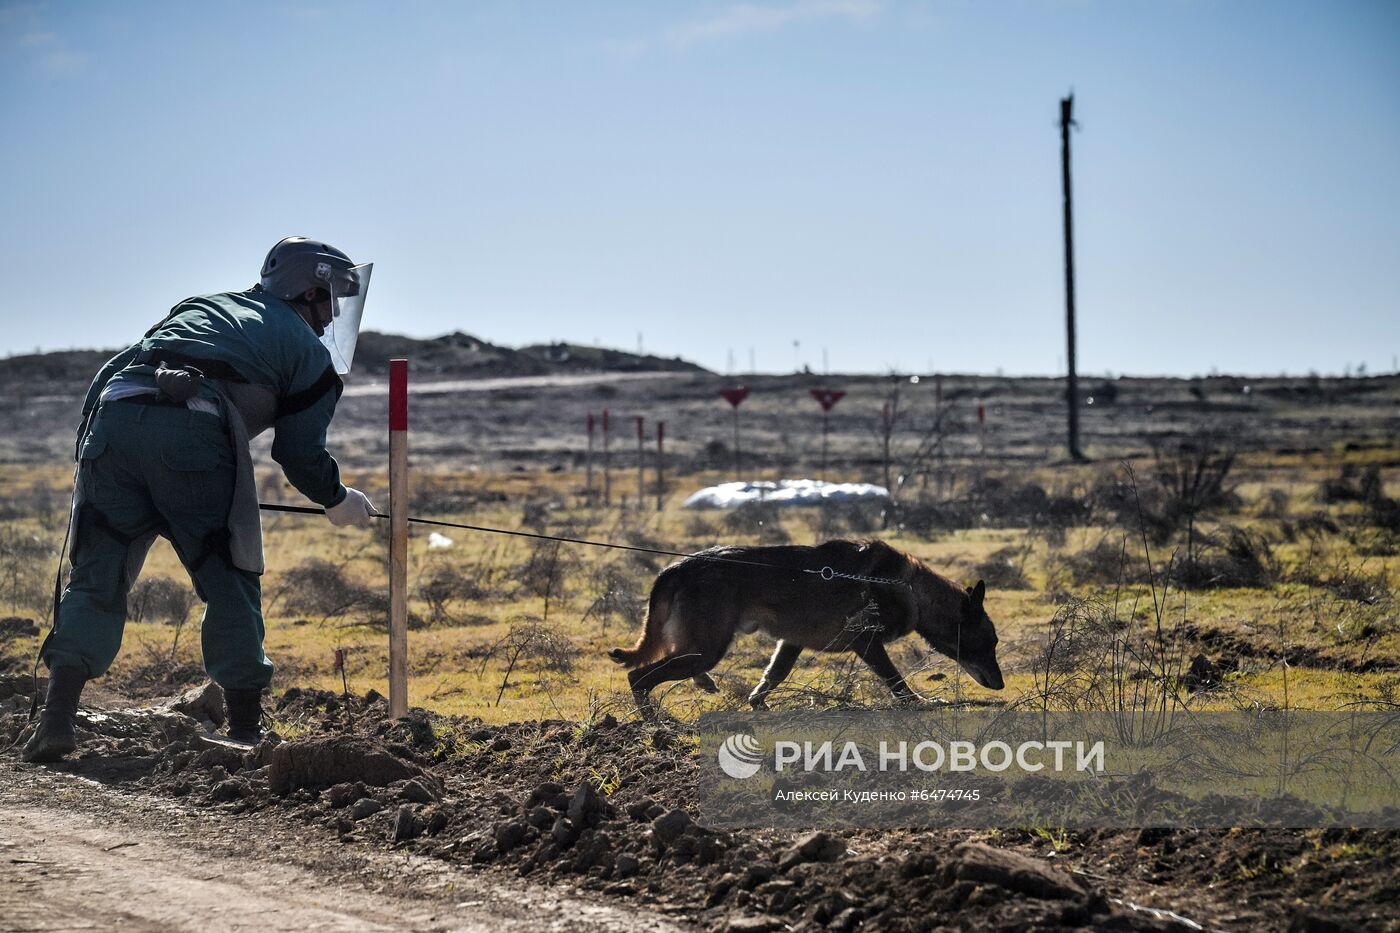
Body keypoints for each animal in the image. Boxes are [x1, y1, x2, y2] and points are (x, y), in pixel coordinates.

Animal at [607, 537, 1002, 706]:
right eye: (989, 643)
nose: (1000, 685)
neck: (909, 587)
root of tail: (678, 567)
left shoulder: (790, 642)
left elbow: (773, 676)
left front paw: (757, 703)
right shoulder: (866, 641)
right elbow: (896, 680)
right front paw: (920, 703)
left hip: (699, 647)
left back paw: (701, 685)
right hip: (707, 648)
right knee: (638, 676)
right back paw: (654, 719)